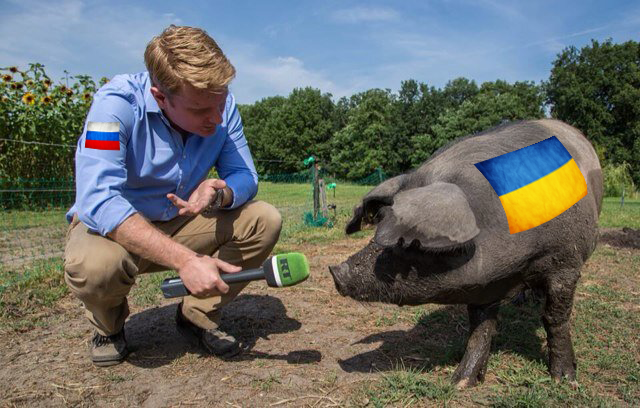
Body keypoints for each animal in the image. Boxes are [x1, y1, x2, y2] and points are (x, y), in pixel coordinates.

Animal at [328, 118, 604, 388]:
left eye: (411, 241)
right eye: (383, 219)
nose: (336, 271)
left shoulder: (566, 262)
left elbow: (555, 318)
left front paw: (564, 380)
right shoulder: (483, 285)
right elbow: (480, 328)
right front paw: (459, 383)